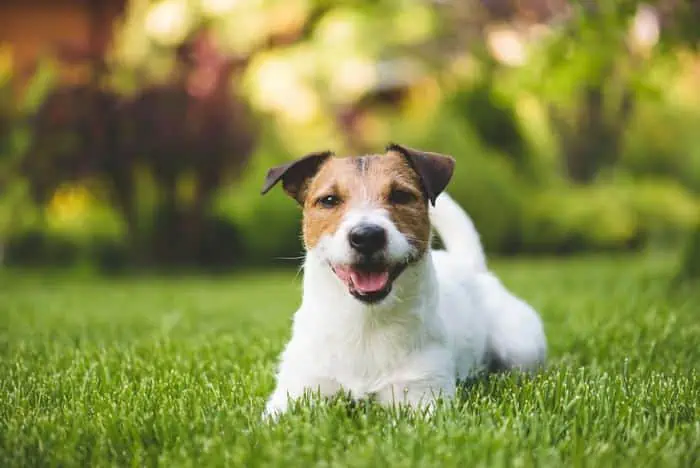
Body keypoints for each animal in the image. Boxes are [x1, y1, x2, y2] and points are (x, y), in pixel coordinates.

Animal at [258, 143, 548, 416]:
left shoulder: (424, 396)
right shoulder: (297, 391)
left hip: (520, 346)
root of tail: (470, 265)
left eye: (400, 195)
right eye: (329, 200)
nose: (367, 236)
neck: (366, 324)